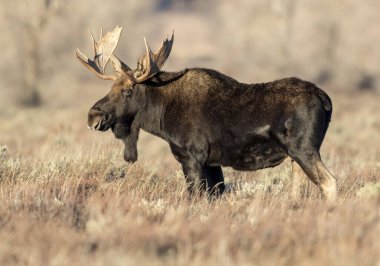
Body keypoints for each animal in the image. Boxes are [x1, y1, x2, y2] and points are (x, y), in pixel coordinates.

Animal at [75, 27, 336, 202]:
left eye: (128, 90)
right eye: (111, 88)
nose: (93, 116)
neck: (161, 115)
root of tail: (326, 100)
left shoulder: (191, 157)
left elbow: (196, 197)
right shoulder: (212, 162)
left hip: (304, 149)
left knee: (330, 182)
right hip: (295, 156)